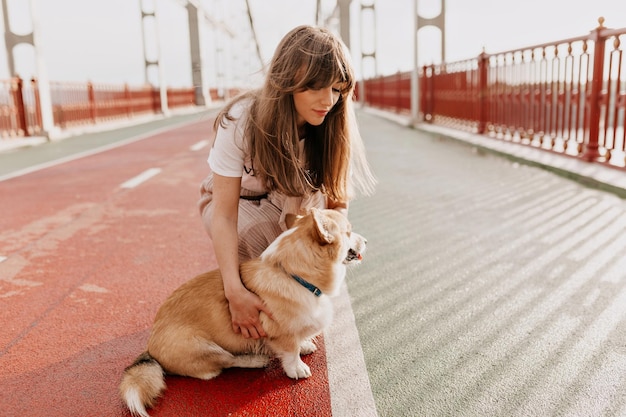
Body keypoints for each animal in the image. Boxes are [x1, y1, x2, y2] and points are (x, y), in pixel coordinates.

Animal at [118, 208, 366, 416]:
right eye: (349, 231)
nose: (366, 240)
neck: (294, 276)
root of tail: (150, 348)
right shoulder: (281, 335)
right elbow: (291, 352)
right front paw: (297, 368)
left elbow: (300, 340)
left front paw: (305, 345)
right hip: (205, 347)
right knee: (224, 364)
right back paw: (254, 360)